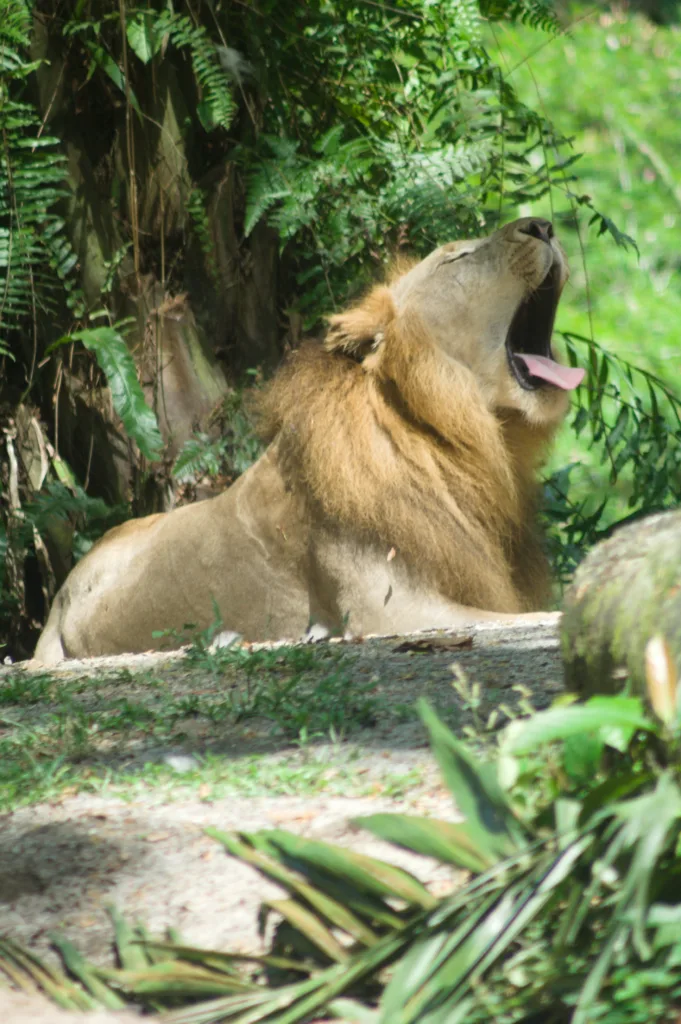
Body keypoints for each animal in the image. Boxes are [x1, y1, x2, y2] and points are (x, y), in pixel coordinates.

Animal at [34, 217, 584, 664]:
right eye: (459, 257)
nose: (543, 226)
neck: (443, 435)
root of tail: (58, 597)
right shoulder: (392, 612)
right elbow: (544, 617)